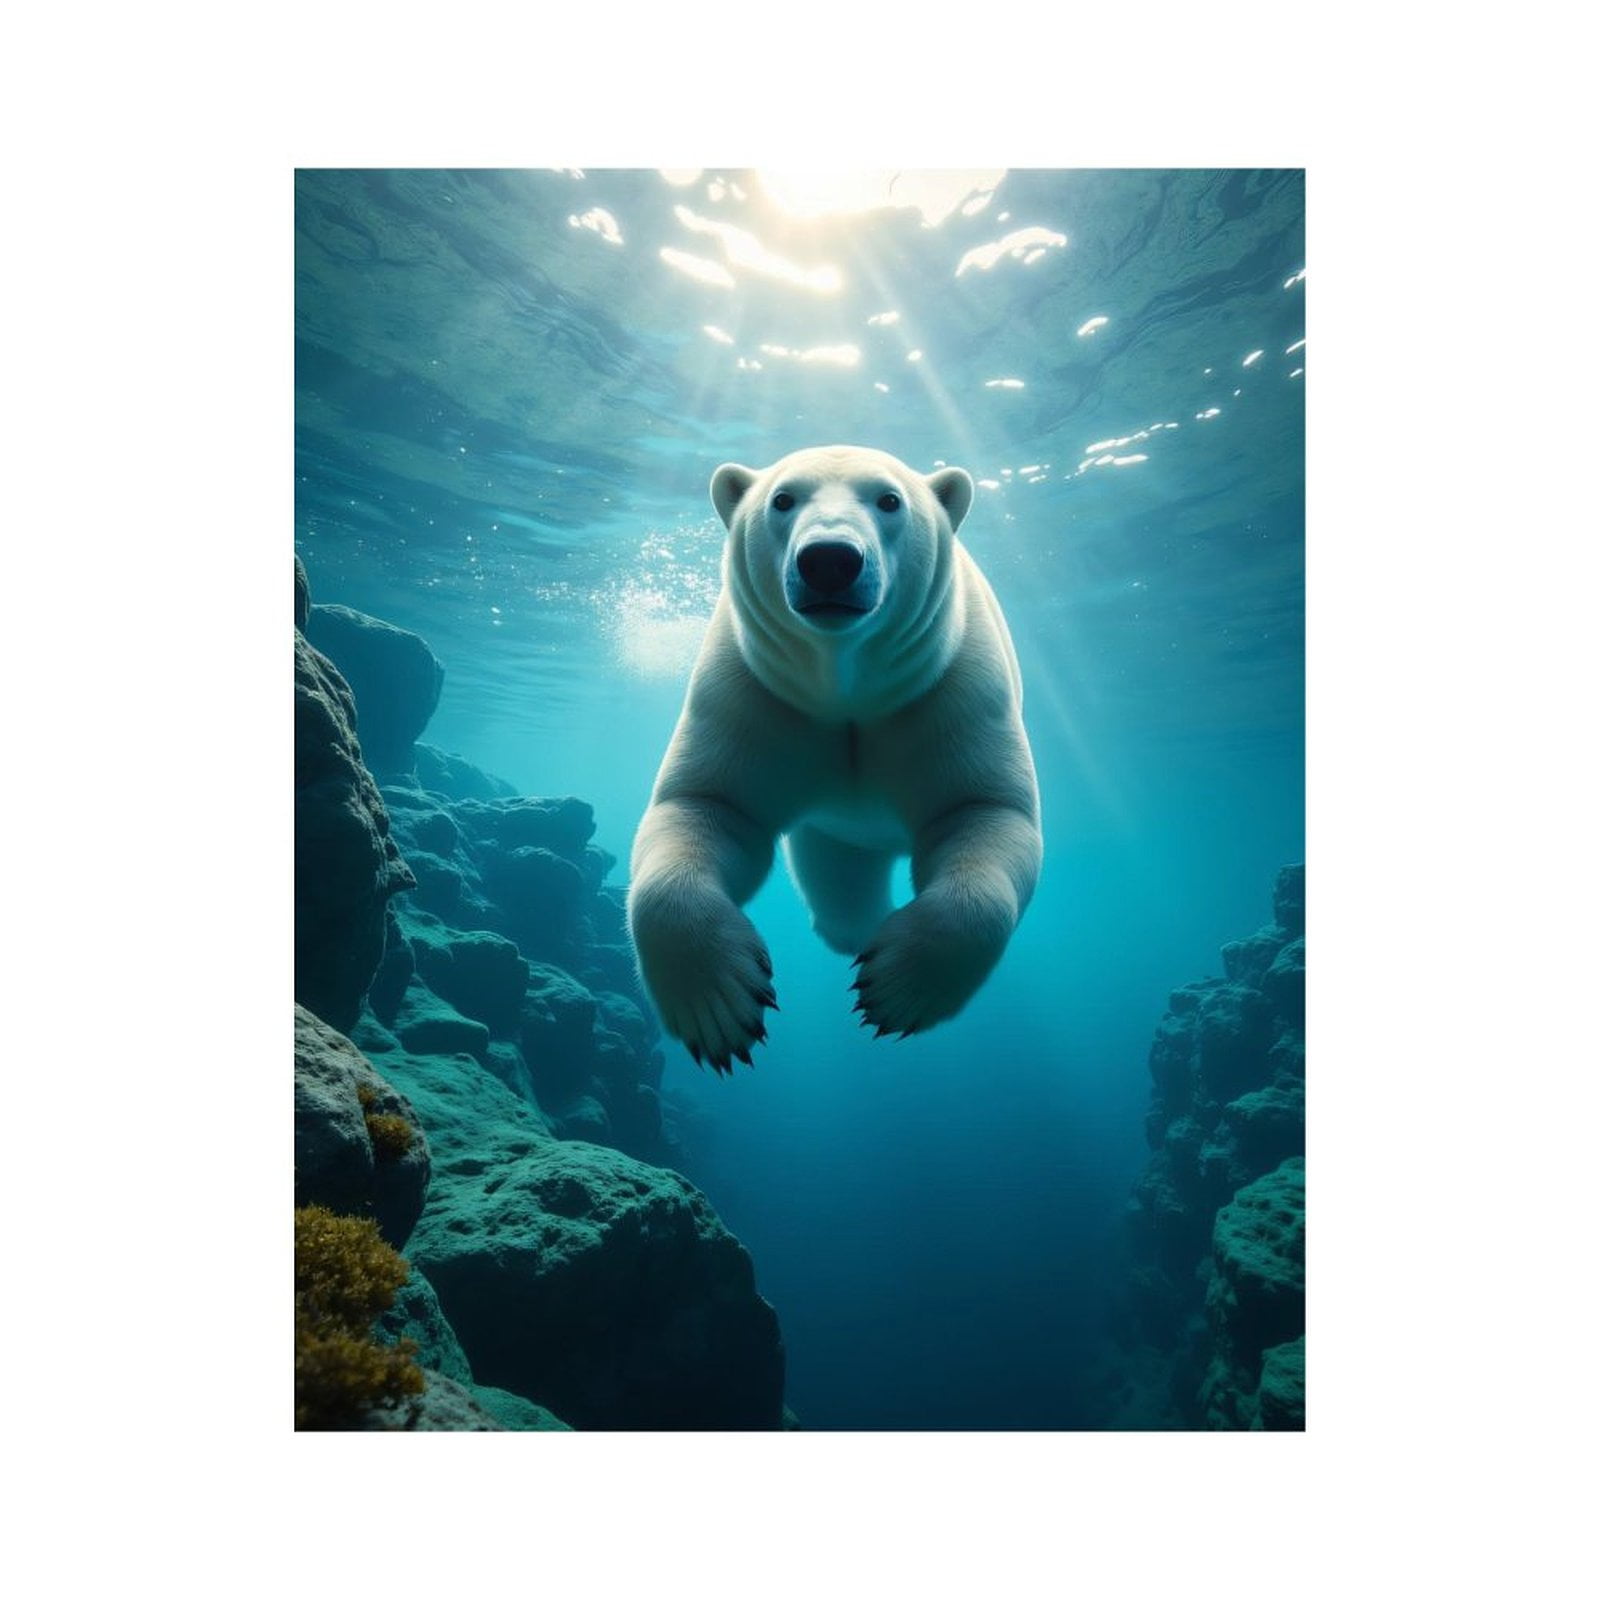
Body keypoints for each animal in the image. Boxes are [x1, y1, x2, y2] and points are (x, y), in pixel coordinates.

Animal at [627, 444, 1042, 1073]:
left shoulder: (950, 691)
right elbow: (708, 807)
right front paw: (717, 1003)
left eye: (889, 499)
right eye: (782, 498)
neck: (845, 687)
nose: (829, 559)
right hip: (835, 835)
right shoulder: (758, 697)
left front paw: (900, 986)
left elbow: (984, 812)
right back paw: (858, 930)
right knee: (840, 886)